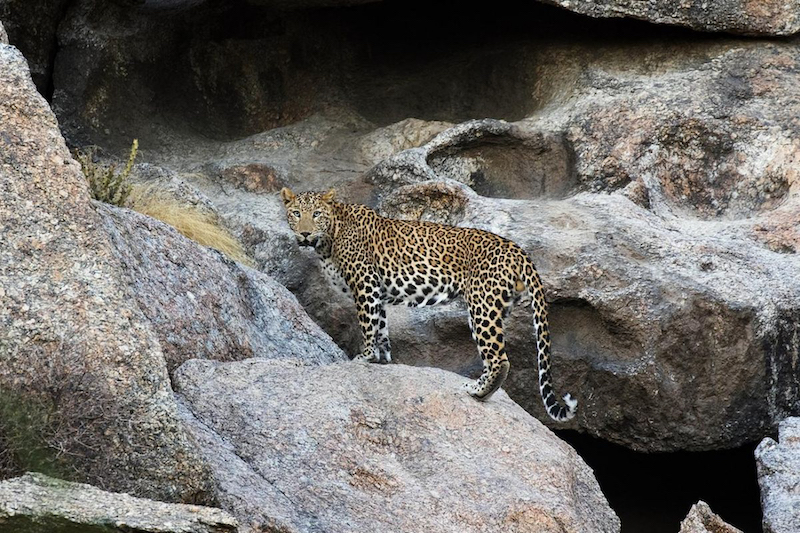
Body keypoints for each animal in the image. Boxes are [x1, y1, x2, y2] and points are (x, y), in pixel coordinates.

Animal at [282, 187, 576, 420]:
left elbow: (367, 324)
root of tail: (518, 250)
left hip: (482, 304)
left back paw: (477, 392)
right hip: (494, 306)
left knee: (499, 359)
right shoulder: (377, 292)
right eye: (296, 213)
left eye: (316, 214)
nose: (305, 234)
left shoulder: (364, 283)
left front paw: (364, 358)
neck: (329, 238)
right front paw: (383, 361)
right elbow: (381, 327)